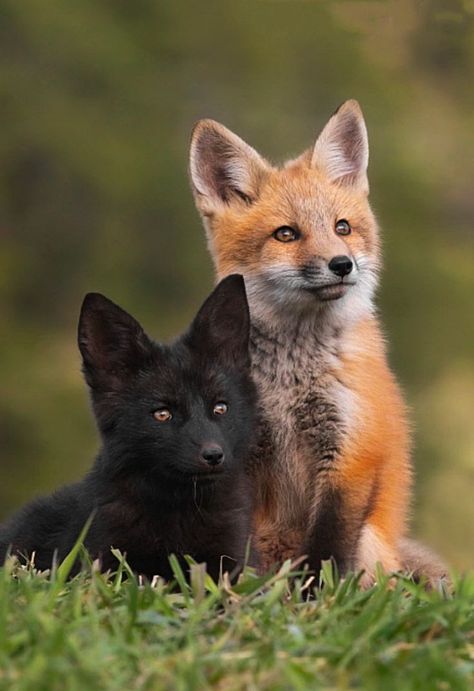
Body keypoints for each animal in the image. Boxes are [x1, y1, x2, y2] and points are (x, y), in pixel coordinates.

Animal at [187, 100, 446, 588]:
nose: (342, 265)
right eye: (286, 234)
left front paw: (314, 597)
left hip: (372, 544)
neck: (291, 378)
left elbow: (327, 546)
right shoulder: (240, 451)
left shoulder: (350, 453)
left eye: (342, 227)